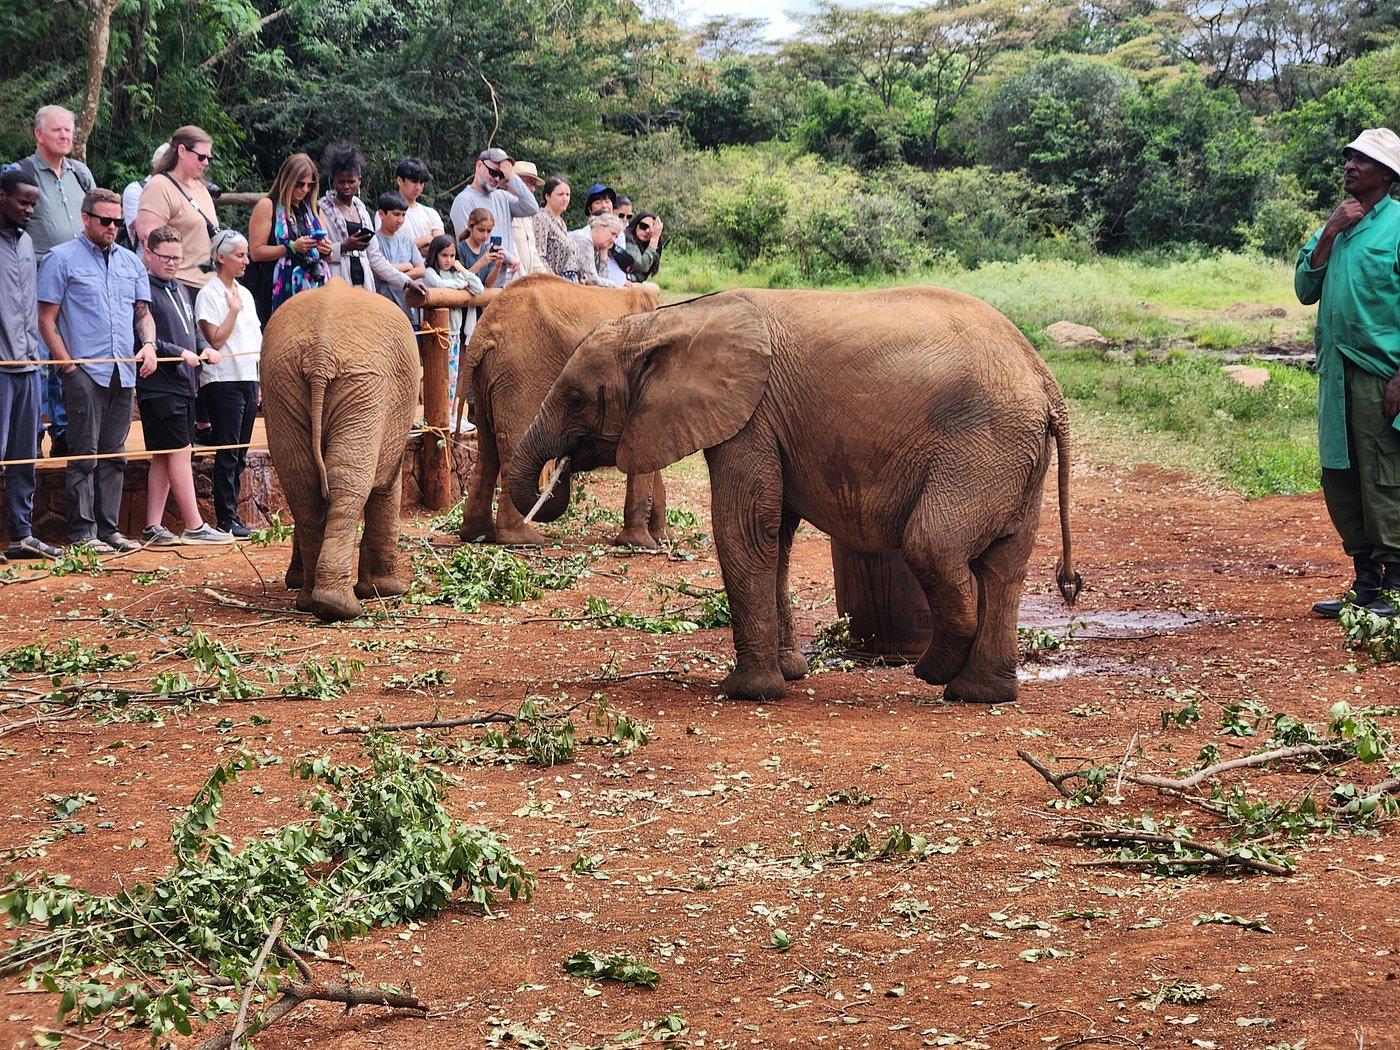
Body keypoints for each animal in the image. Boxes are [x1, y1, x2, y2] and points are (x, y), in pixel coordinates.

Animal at [262, 280, 420, 622]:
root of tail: (320, 355)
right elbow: (387, 487)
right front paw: (388, 591)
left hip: (283, 383)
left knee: (303, 485)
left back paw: (312, 602)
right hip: (364, 385)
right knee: (347, 484)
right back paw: (340, 608)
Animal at [457, 273, 665, 547]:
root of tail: (484, 330)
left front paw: (661, 537)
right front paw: (640, 543)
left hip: (488, 380)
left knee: (486, 447)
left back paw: (478, 535)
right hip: (522, 374)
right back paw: (524, 538)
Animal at [508, 287, 1081, 703]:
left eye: (575, 399)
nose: (554, 483)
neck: (670, 323)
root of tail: (1046, 379)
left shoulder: (750, 418)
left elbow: (744, 527)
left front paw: (747, 692)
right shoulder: (763, 423)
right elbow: (775, 535)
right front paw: (791, 672)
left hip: (984, 447)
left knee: (933, 546)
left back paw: (932, 673)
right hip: (1013, 453)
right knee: (1004, 564)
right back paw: (980, 696)